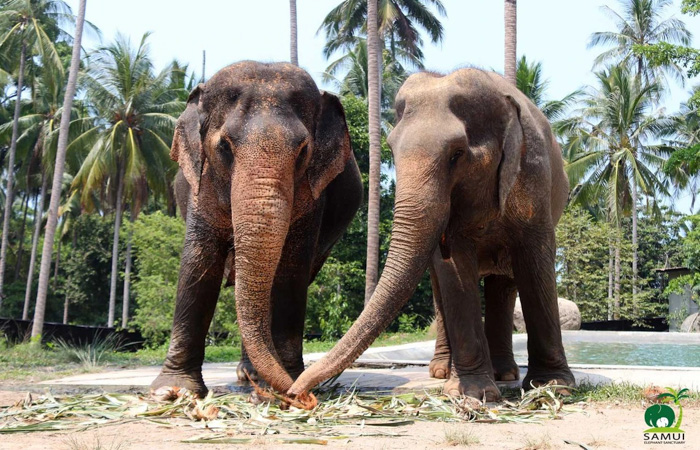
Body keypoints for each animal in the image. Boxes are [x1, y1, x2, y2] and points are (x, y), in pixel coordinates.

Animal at [151, 62, 364, 398]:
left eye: (303, 150)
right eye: (224, 146)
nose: (297, 394)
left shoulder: (312, 195)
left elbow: (291, 270)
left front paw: (286, 381)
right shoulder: (202, 184)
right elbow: (198, 264)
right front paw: (173, 391)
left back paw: (253, 375)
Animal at [290, 67, 576, 404]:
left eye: (457, 154)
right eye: (391, 150)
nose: (296, 394)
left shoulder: (533, 177)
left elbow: (535, 264)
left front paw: (553, 386)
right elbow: (454, 270)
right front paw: (473, 393)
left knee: (503, 284)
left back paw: (504, 374)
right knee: (443, 289)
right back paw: (442, 371)